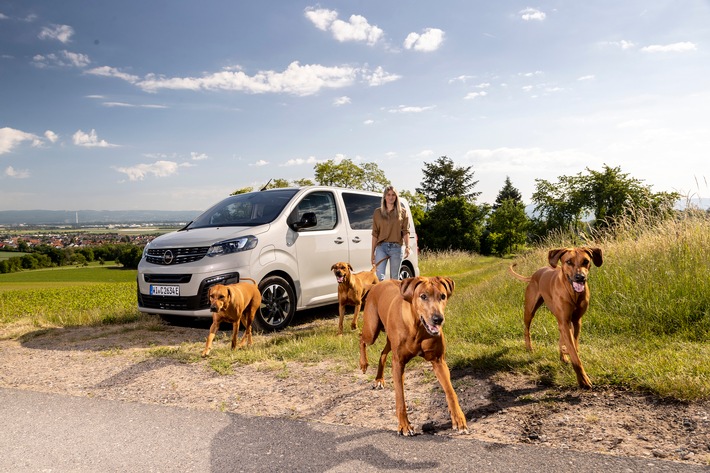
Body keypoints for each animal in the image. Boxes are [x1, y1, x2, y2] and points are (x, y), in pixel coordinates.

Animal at [358, 276, 470, 436]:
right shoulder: (398, 363)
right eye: (423, 296)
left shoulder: (438, 361)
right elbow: (400, 398)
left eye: (442, 296)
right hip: (371, 329)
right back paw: (363, 363)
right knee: (361, 338)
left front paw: (459, 419)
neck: (418, 327)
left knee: (383, 353)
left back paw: (379, 378)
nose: (438, 319)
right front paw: (404, 426)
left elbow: (450, 391)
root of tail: (379, 283)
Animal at [512, 247, 608, 388]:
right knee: (526, 329)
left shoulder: (576, 321)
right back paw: (529, 348)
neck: (573, 293)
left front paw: (565, 353)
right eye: (568, 261)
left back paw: (562, 354)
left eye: (586, 261)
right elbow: (574, 354)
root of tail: (534, 274)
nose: (580, 277)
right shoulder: (565, 321)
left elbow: (574, 344)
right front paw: (583, 380)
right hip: (530, 310)